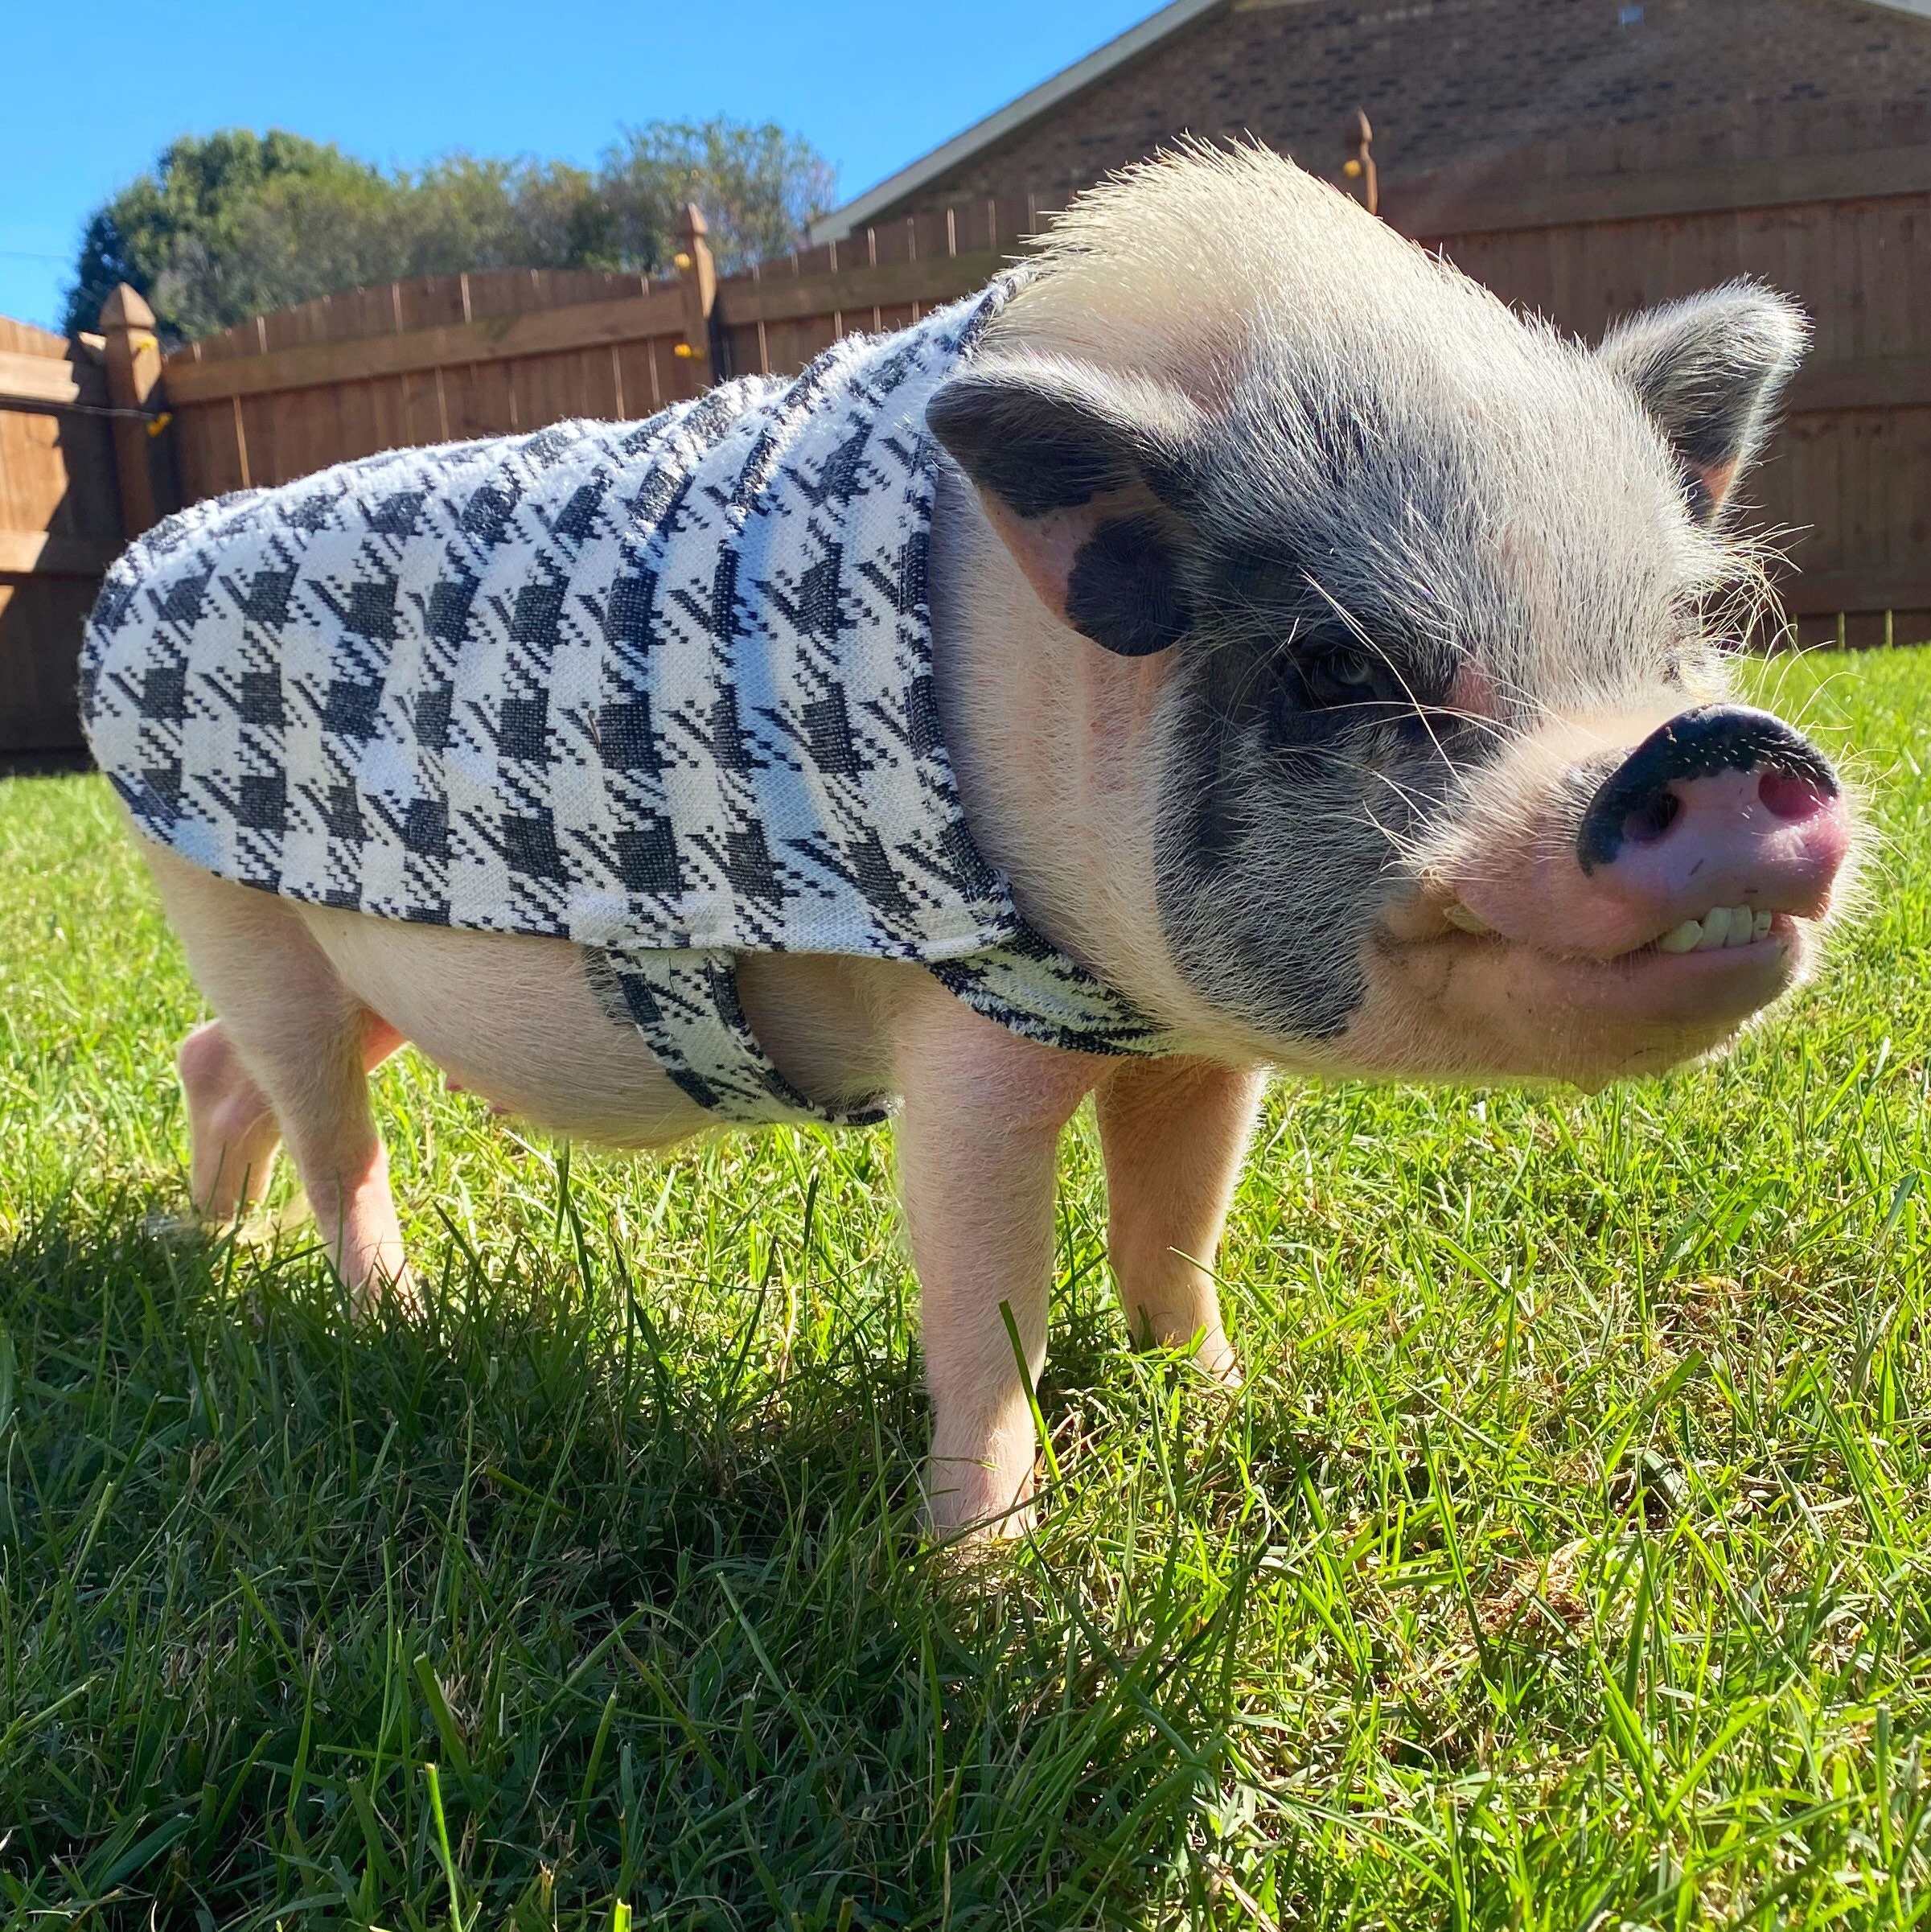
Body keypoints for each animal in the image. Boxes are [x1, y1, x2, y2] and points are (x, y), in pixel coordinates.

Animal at [83, 144, 1854, 1539]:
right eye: (1334, 665)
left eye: (1683, 633)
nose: (1713, 745)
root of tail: (138, 553)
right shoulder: (969, 1016)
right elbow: (988, 1294)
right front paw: (982, 1575)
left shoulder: (1192, 1046)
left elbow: (1174, 1233)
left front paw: (1223, 1409)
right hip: (217, 896)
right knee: (325, 1126)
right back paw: (391, 1317)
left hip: (353, 950)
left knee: (222, 1065)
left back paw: (205, 1242)